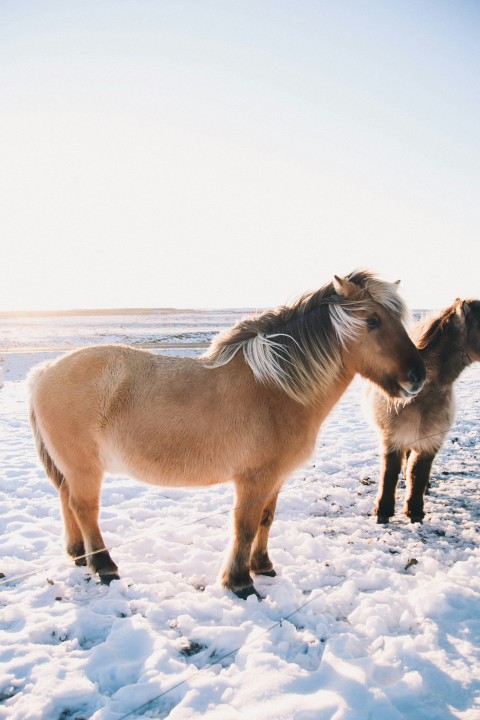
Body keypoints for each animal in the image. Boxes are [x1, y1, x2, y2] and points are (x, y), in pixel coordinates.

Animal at [28, 269, 426, 599]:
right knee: (84, 509)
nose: (418, 376)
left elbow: (266, 520)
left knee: (67, 501)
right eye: (372, 320)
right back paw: (104, 567)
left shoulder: (274, 479)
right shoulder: (253, 479)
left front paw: (263, 567)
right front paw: (240, 582)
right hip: (85, 470)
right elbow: (245, 527)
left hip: (73, 470)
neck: (275, 389)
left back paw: (79, 556)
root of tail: (44, 371)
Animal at [364, 298, 480, 524]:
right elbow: (389, 473)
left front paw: (415, 511)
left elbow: (418, 473)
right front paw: (383, 511)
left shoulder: (430, 439)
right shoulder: (392, 437)